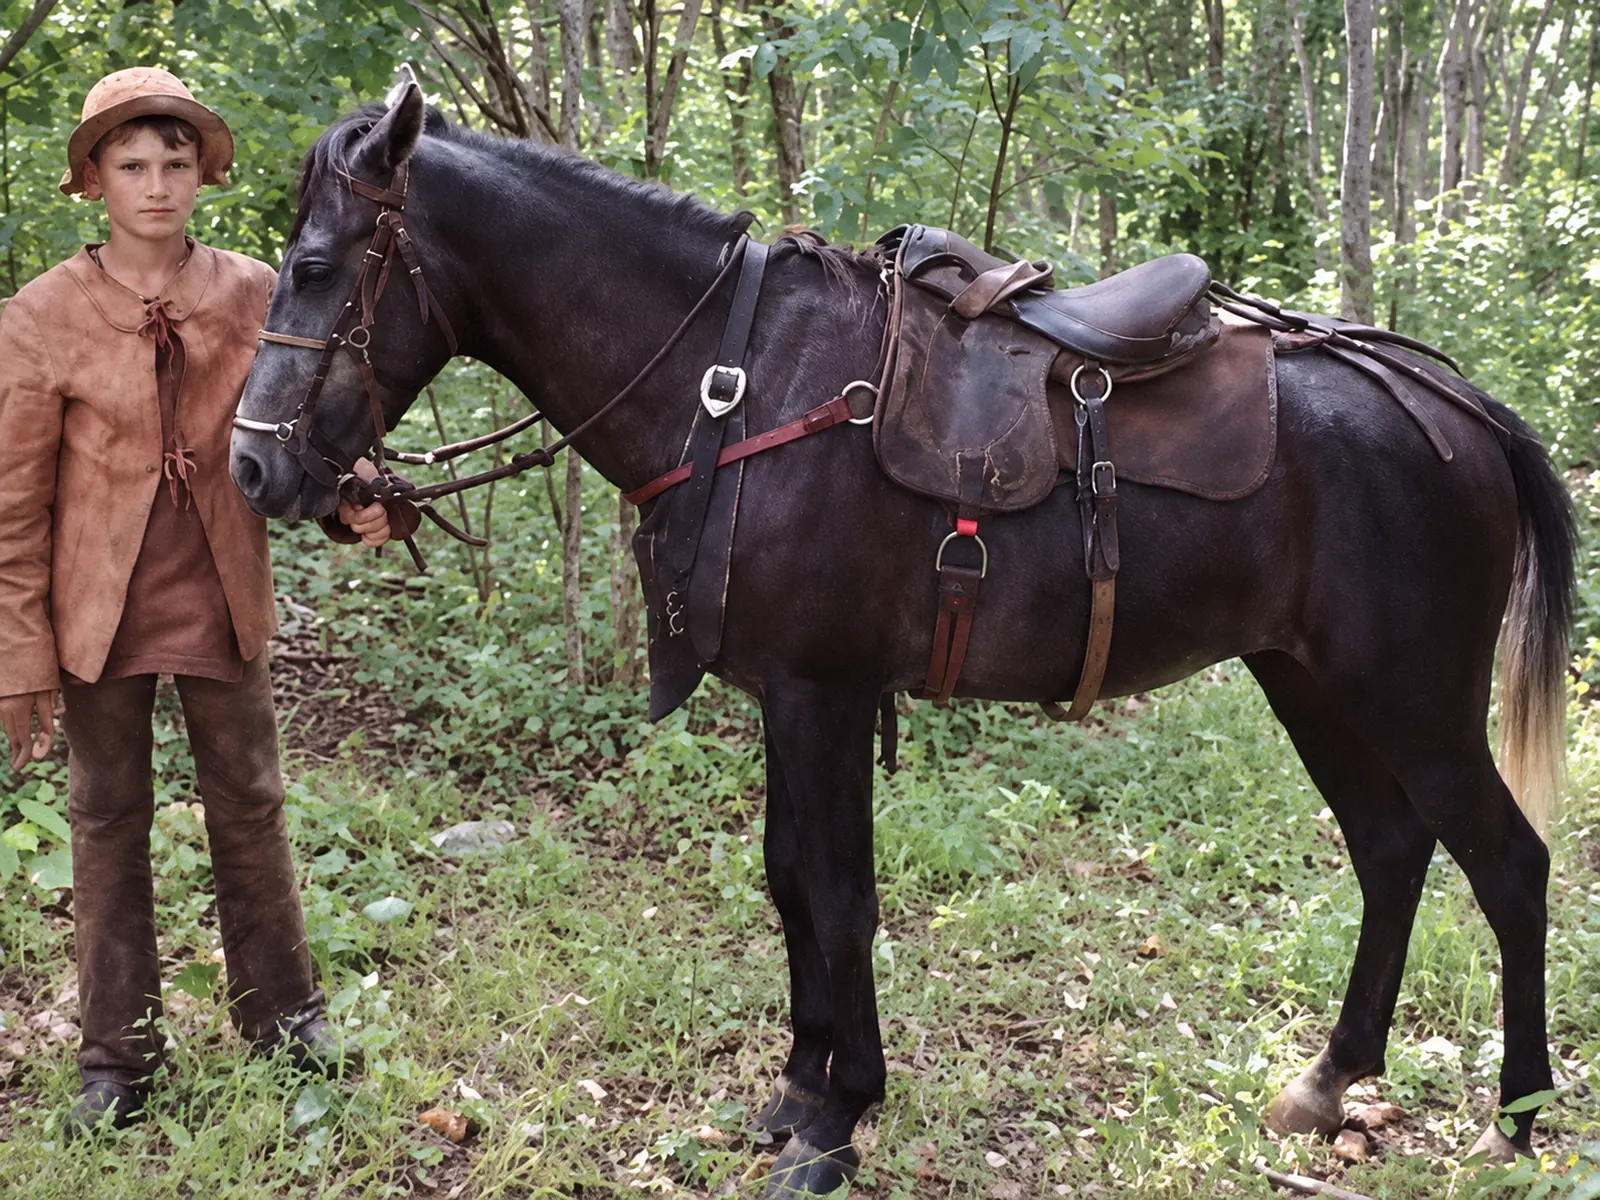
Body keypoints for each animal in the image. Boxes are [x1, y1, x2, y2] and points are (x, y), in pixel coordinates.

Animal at [231, 85, 1574, 1196]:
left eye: (313, 264)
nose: (252, 467)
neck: (739, 383)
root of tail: (1463, 408)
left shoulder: (822, 694)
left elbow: (838, 895)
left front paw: (838, 1120)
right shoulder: (783, 697)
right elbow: (786, 877)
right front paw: (794, 1087)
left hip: (1411, 701)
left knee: (1507, 865)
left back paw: (1518, 1118)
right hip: (1310, 682)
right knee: (1391, 850)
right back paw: (1329, 1080)